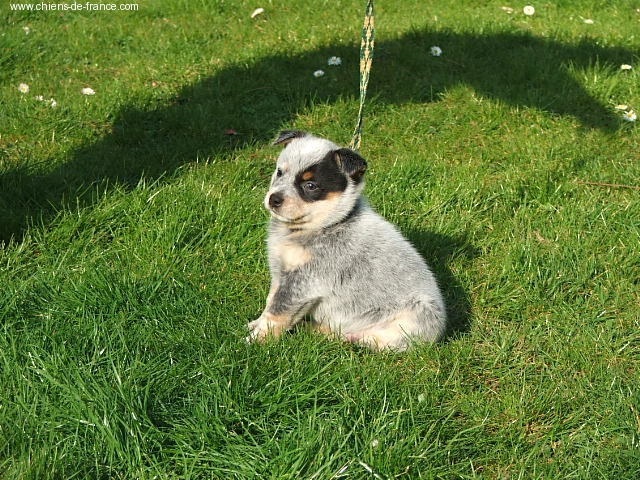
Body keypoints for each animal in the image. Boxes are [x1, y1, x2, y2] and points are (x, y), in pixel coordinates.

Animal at [246, 131, 446, 350]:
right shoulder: (280, 271)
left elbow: (277, 311)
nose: (274, 199)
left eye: (310, 186)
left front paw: (257, 339)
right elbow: (271, 300)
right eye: (280, 172)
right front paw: (256, 324)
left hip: (412, 318)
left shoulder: (305, 279)